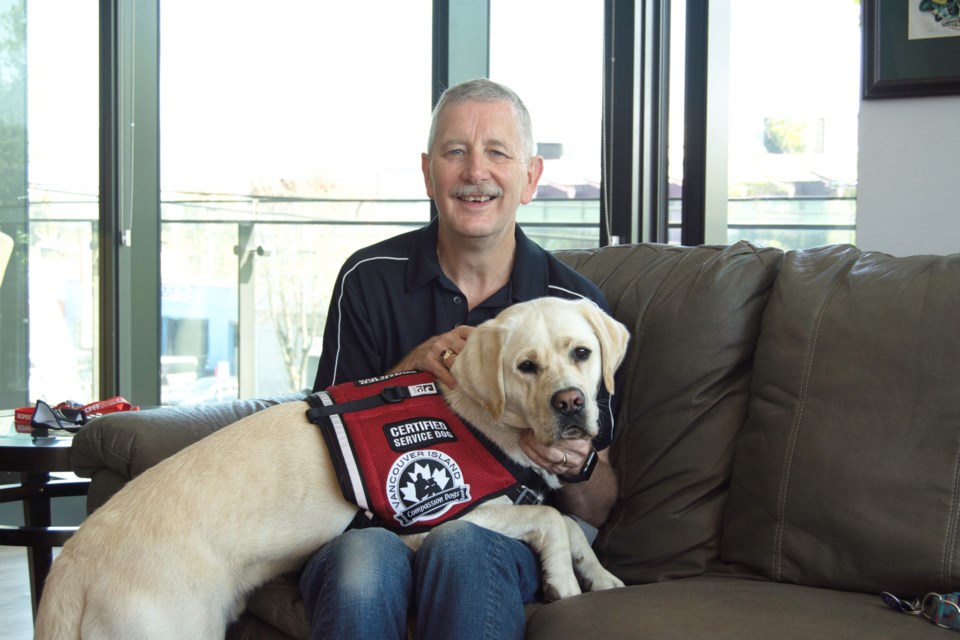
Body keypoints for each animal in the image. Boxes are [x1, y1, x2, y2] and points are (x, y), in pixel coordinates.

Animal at [37, 298, 632, 636]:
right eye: (526, 367)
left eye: (582, 353)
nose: (571, 403)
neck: (474, 415)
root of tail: (72, 569)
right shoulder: (440, 517)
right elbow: (552, 519)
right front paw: (563, 582)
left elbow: (572, 528)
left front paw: (602, 578)